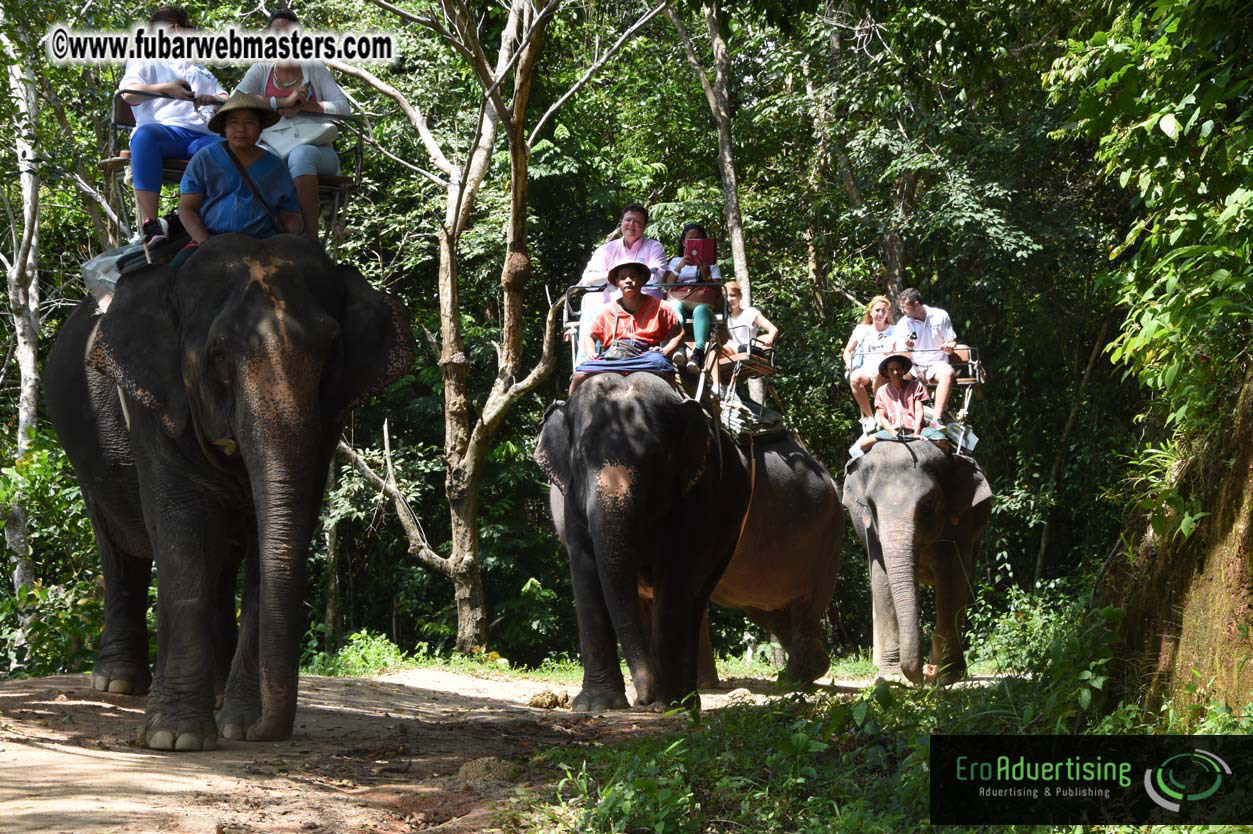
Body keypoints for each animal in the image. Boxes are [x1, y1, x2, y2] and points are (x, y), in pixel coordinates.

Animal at [45, 234, 412, 750]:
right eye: (218, 355)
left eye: (331, 352)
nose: (264, 732)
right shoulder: (156, 404)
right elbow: (183, 533)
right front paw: (174, 740)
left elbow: (272, 537)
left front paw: (238, 725)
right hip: (82, 445)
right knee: (120, 547)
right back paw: (117, 683)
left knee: (219, 562)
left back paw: (215, 695)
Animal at [535, 372, 752, 711]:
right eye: (580, 457)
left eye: (654, 459)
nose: (644, 698)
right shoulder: (570, 505)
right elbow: (585, 570)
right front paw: (596, 706)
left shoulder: (699, 496)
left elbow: (677, 578)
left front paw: (666, 703)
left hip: (731, 531)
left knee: (694, 600)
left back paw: (686, 702)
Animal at [841, 438, 993, 685]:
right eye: (870, 507)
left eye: (929, 504)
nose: (924, 675)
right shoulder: (871, 532)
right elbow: (881, 579)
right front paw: (891, 678)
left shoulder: (962, 524)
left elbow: (951, 579)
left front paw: (946, 676)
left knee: (964, 585)